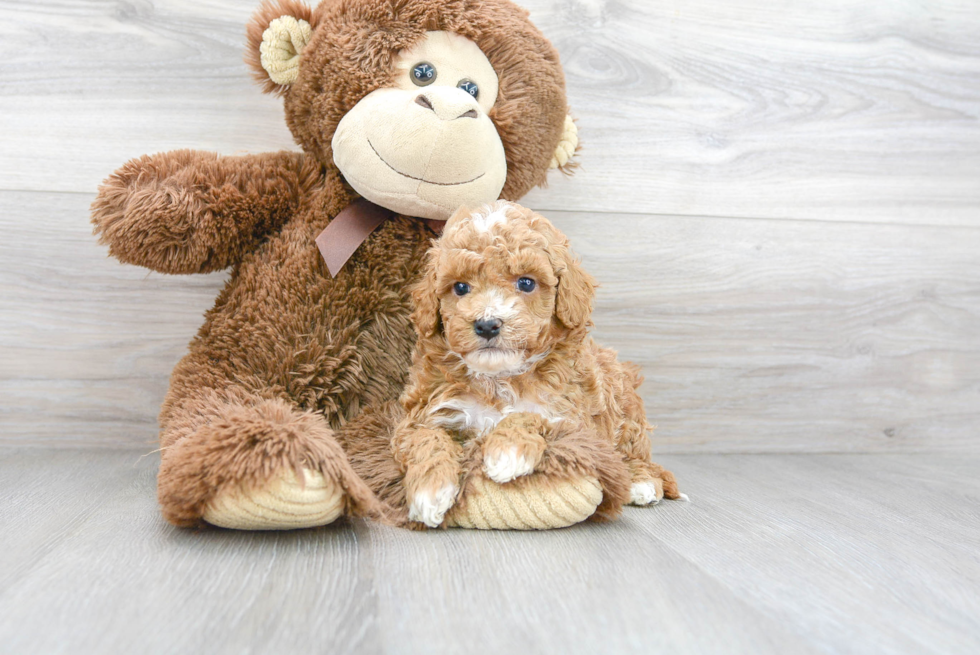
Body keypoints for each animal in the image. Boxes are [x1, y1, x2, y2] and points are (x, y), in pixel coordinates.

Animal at [390, 201, 680, 528]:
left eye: (526, 282)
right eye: (461, 287)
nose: (487, 324)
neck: (499, 377)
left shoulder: (571, 415)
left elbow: (529, 414)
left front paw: (507, 451)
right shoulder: (423, 413)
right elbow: (426, 438)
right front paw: (430, 490)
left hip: (625, 412)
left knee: (636, 456)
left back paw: (641, 482)